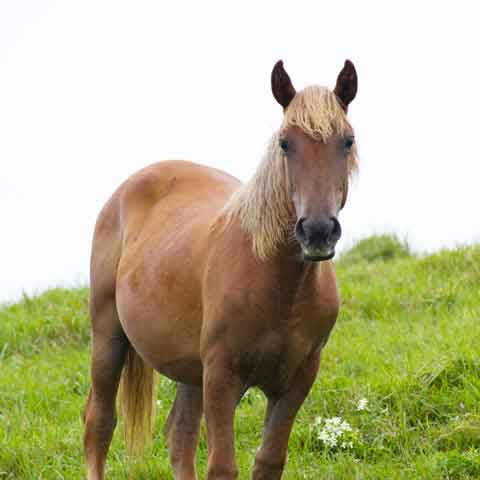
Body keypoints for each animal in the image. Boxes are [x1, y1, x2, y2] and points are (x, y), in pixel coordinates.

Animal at [84, 60, 358, 480]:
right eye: (285, 143)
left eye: (347, 141)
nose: (317, 231)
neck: (278, 287)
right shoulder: (221, 375)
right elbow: (223, 466)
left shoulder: (297, 379)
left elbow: (268, 461)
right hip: (108, 336)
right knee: (100, 423)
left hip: (189, 371)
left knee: (179, 437)